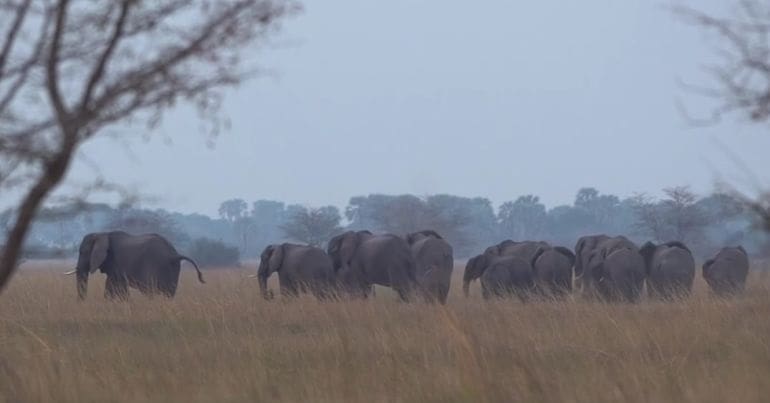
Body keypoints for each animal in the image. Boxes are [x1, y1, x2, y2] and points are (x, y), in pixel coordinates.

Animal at [66, 231, 204, 300]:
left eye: (82, 252)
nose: (82, 303)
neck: (102, 234)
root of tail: (174, 254)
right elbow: (111, 285)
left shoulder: (116, 262)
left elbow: (117, 285)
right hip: (173, 269)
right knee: (169, 292)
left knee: (150, 290)